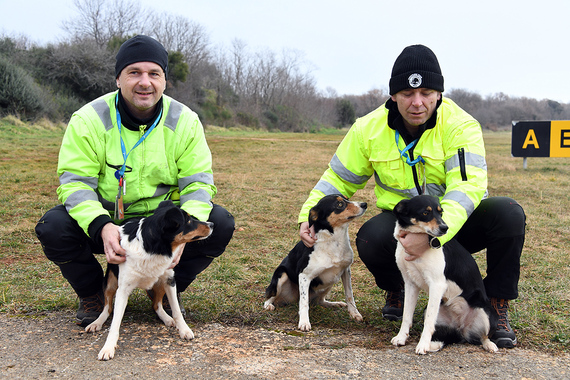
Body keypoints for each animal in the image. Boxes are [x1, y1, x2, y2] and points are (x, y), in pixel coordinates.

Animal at [86, 200, 213, 360]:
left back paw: (167, 318)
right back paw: (97, 322)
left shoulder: (169, 280)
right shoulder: (123, 289)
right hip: (111, 281)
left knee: (156, 304)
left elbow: (177, 310)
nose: (212, 224)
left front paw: (184, 329)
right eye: (189, 221)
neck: (153, 248)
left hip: (159, 283)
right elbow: (115, 322)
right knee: (108, 307)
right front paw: (108, 348)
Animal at [264, 194, 366, 332]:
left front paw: (354, 314)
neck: (334, 240)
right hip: (281, 276)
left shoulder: (346, 271)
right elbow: (304, 303)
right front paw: (304, 322)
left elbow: (349, 295)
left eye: (347, 199)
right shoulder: (304, 276)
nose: (364, 204)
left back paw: (334, 304)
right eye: (339, 204)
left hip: (329, 283)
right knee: (271, 297)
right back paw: (269, 305)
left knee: (319, 301)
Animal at [388, 194, 494, 354]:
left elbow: (428, 321)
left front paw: (422, 345)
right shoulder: (410, 283)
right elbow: (407, 315)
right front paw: (401, 337)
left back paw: (490, 345)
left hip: (484, 313)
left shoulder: (437, 285)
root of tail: (461, 327)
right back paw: (434, 345)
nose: (445, 228)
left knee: (483, 336)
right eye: (425, 212)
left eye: (441, 212)